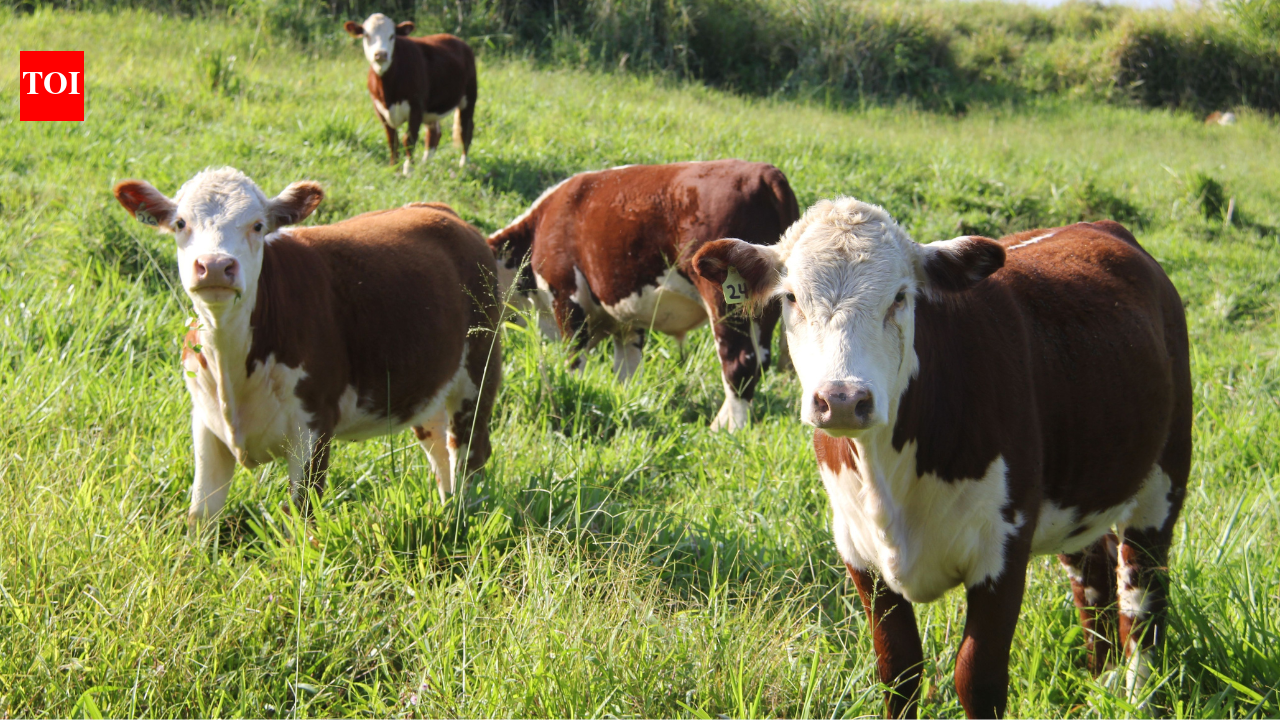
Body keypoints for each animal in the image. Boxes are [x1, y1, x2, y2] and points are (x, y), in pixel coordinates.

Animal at [113, 167, 502, 527]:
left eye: (257, 226)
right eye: (180, 223)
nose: (215, 265)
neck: (232, 367)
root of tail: (442, 211)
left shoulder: (314, 424)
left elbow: (301, 513)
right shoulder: (205, 422)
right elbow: (201, 513)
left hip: (479, 369)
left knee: (470, 450)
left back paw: (464, 518)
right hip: (426, 382)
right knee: (438, 445)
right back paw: (447, 509)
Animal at [344, 13, 477, 173]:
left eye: (392, 36)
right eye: (367, 35)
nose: (381, 54)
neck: (388, 92)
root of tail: (457, 40)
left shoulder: (416, 107)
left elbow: (409, 139)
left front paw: (408, 169)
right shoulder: (379, 109)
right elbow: (392, 139)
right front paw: (393, 167)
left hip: (469, 96)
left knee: (466, 129)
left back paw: (464, 164)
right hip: (432, 109)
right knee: (434, 133)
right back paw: (426, 163)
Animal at [487, 160, 800, 432]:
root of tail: (763, 172)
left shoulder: (567, 298)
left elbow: (574, 358)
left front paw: (571, 387)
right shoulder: (626, 317)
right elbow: (627, 368)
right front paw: (625, 402)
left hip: (724, 300)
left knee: (740, 361)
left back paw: (727, 429)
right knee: (760, 360)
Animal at [692, 198, 1191, 718]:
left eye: (900, 297)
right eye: (791, 297)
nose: (844, 399)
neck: (887, 482)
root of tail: (1098, 226)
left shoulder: (1004, 549)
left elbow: (977, 677)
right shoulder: (858, 552)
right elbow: (899, 673)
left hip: (1163, 484)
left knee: (1142, 596)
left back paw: (1138, 693)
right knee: (1093, 581)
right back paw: (1103, 681)